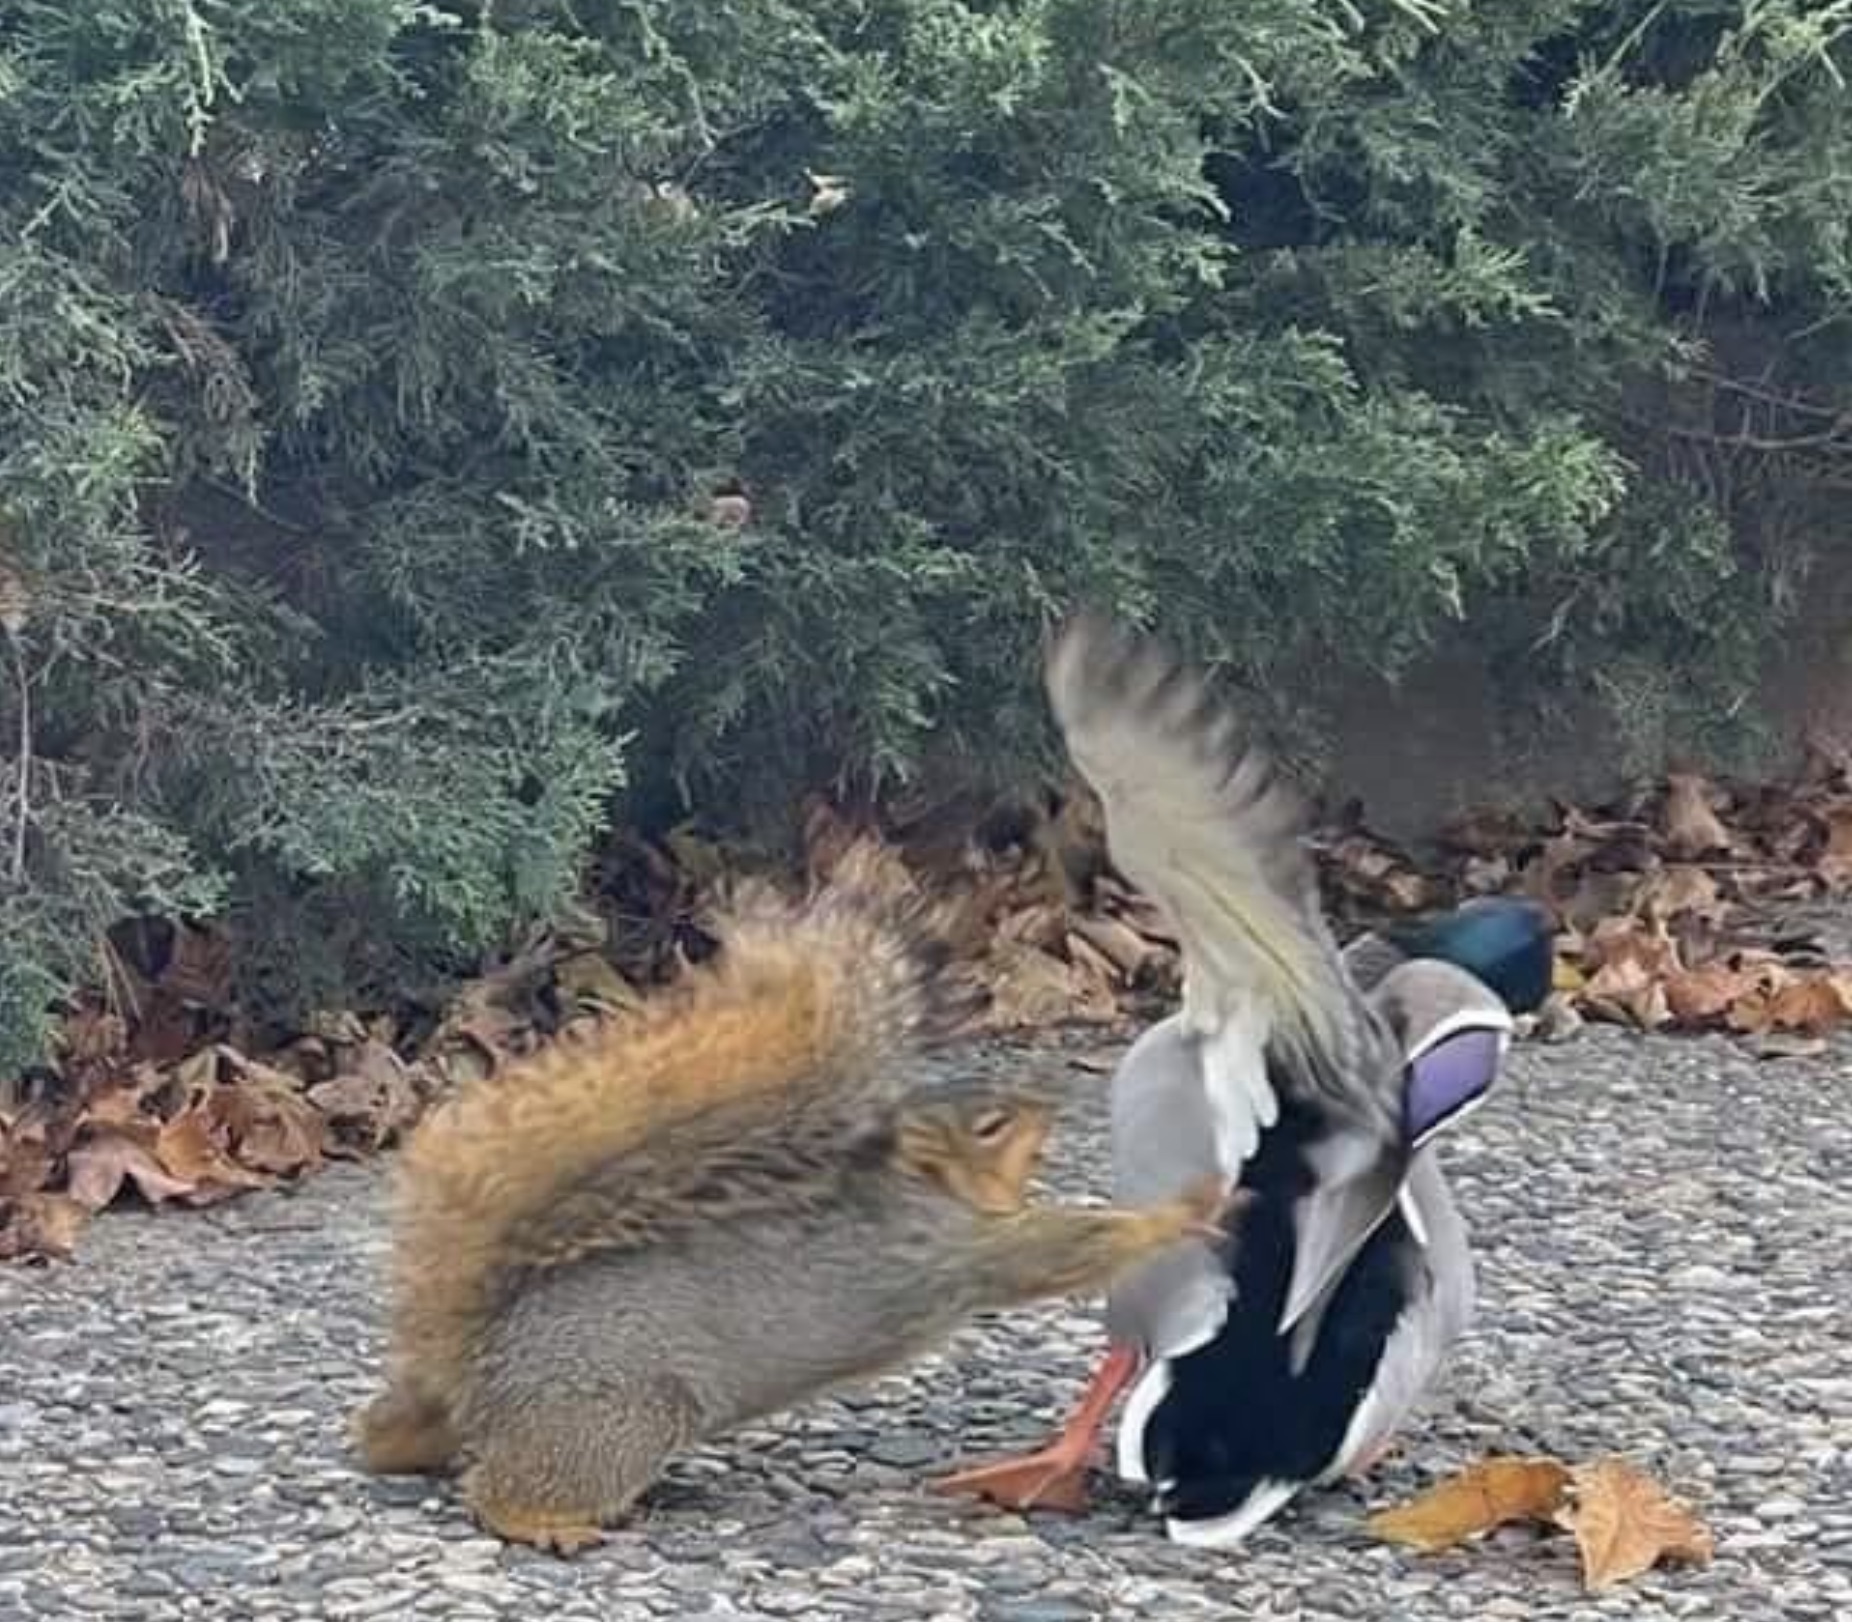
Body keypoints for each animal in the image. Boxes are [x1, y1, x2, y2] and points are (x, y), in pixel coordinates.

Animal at [353, 844, 1237, 1555]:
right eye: (989, 1125)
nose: (1052, 1102)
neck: (920, 1184)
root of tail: (478, 1368)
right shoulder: (954, 1247)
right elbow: (1068, 1246)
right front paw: (1193, 1202)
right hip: (618, 1412)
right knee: (498, 1488)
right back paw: (546, 1523)